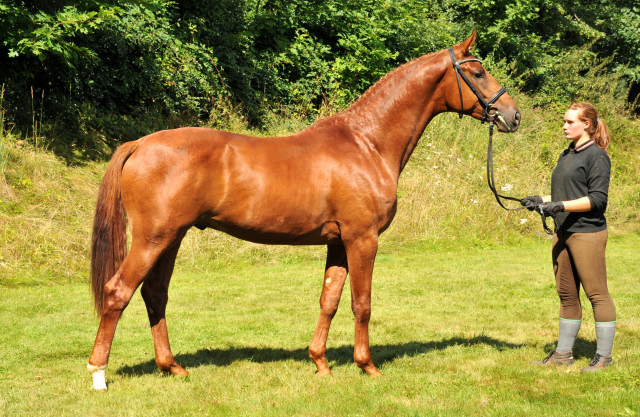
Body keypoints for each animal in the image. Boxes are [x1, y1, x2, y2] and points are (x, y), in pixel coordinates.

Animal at [89, 33, 520, 390]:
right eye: (477, 72)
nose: (512, 115)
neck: (366, 143)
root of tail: (140, 144)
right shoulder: (362, 239)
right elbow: (362, 303)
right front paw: (367, 366)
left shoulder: (339, 243)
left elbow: (329, 300)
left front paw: (320, 364)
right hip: (153, 238)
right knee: (117, 292)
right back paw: (98, 374)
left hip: (171, 238)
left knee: (154, 294)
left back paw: (172, 367)